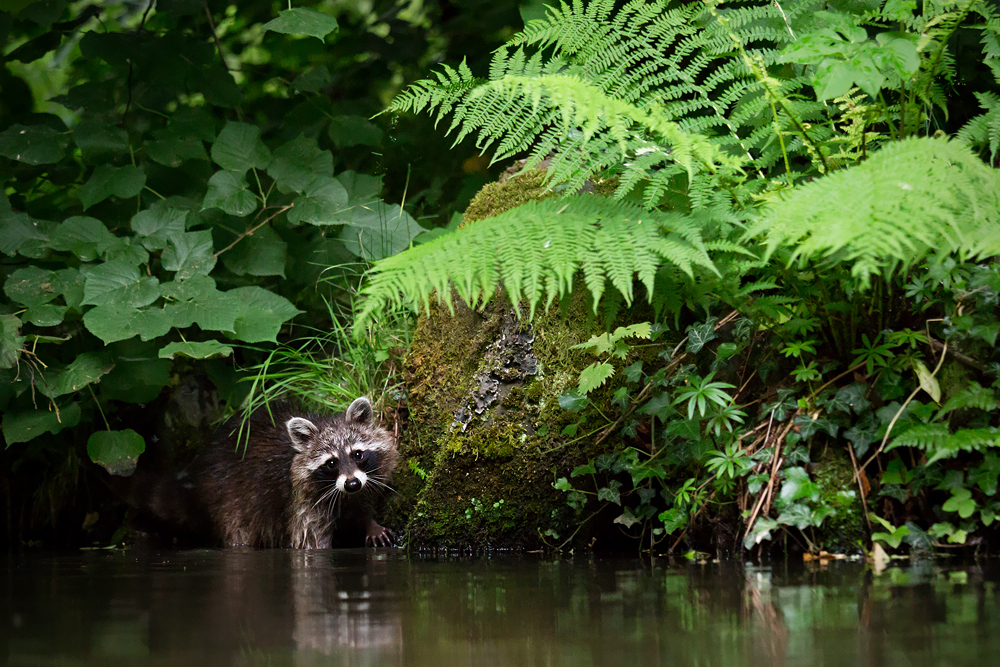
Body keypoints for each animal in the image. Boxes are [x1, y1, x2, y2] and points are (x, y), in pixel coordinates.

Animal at [191, 396, 398, 548]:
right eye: (331, 463)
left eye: (357, 454)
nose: (352, 484)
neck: (343, 494)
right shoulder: (302, 502)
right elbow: (310, 540)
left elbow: (360, 508)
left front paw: (369, 523)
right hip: (226, 499)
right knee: (237, 530)